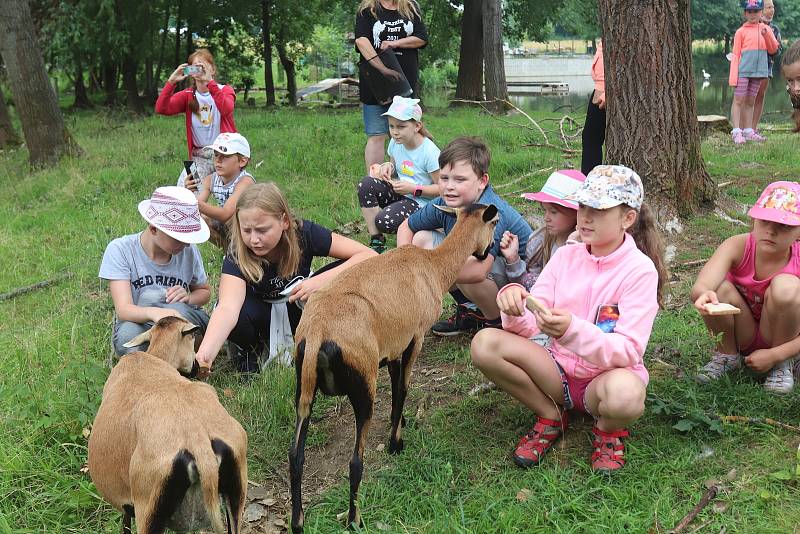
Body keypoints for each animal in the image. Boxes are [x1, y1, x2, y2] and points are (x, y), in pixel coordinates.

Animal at [87, 318, 247, 534]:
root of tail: (199, 443)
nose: (198, 366)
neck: (152, 359)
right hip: (236, 493)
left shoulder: (128, 505)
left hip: (149, 509)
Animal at [290, 204, 496, 532]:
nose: (488, 252)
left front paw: (398, 424)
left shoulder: (394, 347)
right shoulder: (416, 337)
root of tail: (317, 332)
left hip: (304, 388)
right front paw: (396, 443)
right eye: (495, 223)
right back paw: (354, 519)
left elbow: (397, 386)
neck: (433, 266)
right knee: (355, 462)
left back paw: (298, 521)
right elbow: (404, 387)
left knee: (296, 457)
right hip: (363, 383)